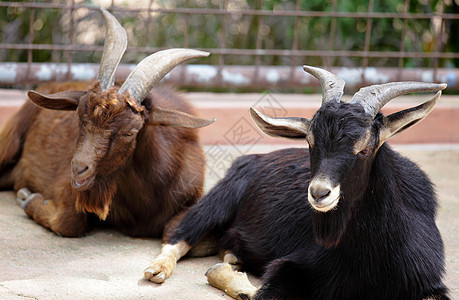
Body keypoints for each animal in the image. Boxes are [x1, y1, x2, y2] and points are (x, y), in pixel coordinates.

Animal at [0, 8, 215, 239]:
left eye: (130, 132)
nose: (78, 169)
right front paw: (27, 198)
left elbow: (175, 229)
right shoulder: (69, 188)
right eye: (79, 118)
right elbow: (69, 222)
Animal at [146, 66, 450, 300]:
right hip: (219, 199)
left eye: (364, 149)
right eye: (310, 142)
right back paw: (160, 269)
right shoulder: (294, 264)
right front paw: (225, 276)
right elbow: (264, 294)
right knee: (179, 234)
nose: (319, 193)